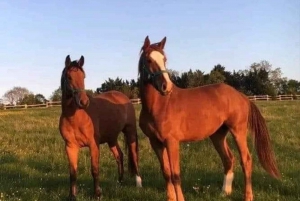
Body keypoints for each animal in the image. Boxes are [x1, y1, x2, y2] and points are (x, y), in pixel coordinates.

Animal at [59, 55, 143, 201]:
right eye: (69, 77)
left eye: (83, 76)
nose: (84, 102)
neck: (75, 118)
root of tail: (123, 97)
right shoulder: (70, 146)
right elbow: (73, 172)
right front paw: (72, 196)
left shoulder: (93, 144)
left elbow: (95, 169)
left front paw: (97, 194)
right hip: (111, 139)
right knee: (119, 156)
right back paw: (120, 181)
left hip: (130, 131)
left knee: (133, 155)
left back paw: (138, 183)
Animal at [137, 36, 280, 201]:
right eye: (148, 60)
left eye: (164, 59)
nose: (166, 87)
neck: (159, 105)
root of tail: (241, 96)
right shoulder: (155, 142)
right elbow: (166, 173)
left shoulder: (171, 141)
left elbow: (175, 175)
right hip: (217, 135)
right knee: (228, 159)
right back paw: (225, 192)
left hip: (238, 131)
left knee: (246, 160)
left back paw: (248, 196)